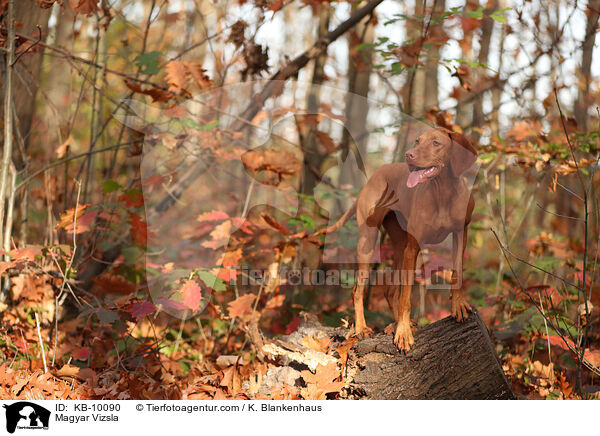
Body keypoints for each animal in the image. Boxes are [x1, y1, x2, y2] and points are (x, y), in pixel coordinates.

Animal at [314, 127, 478, 352]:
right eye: (417, 141)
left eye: (436, 142)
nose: (409, 155)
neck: (442, 193)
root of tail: (373, 177)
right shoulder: (413, 248)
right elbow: (406, 298)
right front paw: (403, 332)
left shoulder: (461, 233)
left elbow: (457, 271)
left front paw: (458, 304)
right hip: (369, 241)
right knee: (359, 289)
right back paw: (363, 328)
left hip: (400, 246)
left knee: (390, 291)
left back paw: (396, 323)